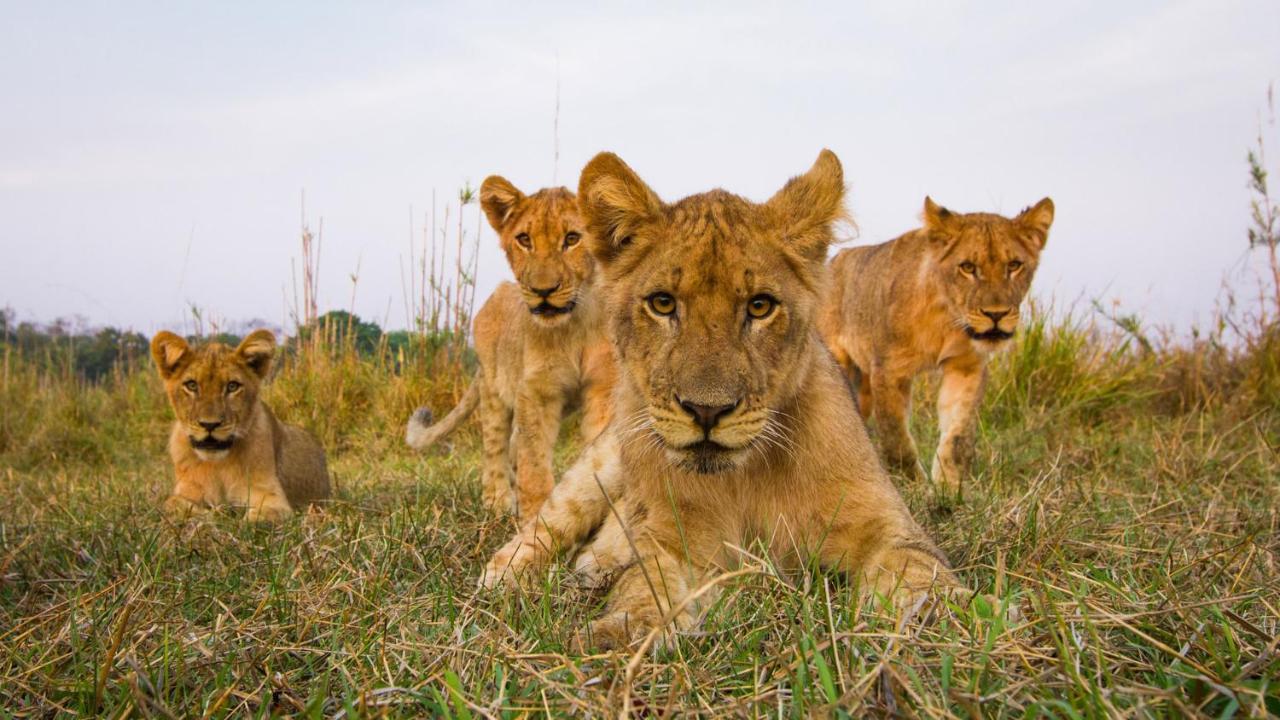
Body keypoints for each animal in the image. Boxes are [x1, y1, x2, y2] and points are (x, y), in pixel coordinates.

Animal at [149, 327, 330, 517]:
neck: (218, 465)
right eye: (191, 385)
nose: (209, 424)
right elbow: (172, 504)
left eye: (232, 386)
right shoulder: (185, 491)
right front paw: (210, 514)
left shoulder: (274, 499)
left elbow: (257, 516)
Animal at [404, 178, 614, 515]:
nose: (543, 290)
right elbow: (534, 465)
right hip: (493, 389)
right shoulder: (537, 390)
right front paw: (535, 516)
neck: (576, 323)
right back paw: (498, 499)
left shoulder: (602, 388)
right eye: (524, 240)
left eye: (572, 238)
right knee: (495, 446)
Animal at [481, 148, 962, 648]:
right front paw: (617, 636)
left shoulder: (890, 529)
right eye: (663, 303)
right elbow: (646, 586)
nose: (707, 410)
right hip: (595, 467)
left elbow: (919, 576)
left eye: (759, 306)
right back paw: (509, 578)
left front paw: (923, 625)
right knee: (542, 526)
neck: (746, 478)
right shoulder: (679, 548)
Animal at [814, 196, 1054, 489]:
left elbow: (957, 435)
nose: (995, 315)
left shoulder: (966, 368)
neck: (947, 321)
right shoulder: (890, 371)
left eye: (1014, 265)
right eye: (968, 267)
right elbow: (896, 437)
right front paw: (913, 484)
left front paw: (949, 486)